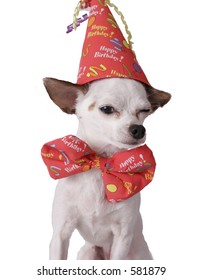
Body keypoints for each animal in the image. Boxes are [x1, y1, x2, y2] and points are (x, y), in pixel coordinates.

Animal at [43, 77, 171, 260]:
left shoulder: (122, 237)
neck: (100, 164)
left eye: (144, 110)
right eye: (107, 109)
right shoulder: (60, 234)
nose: (139, 129)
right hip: (87, 252)